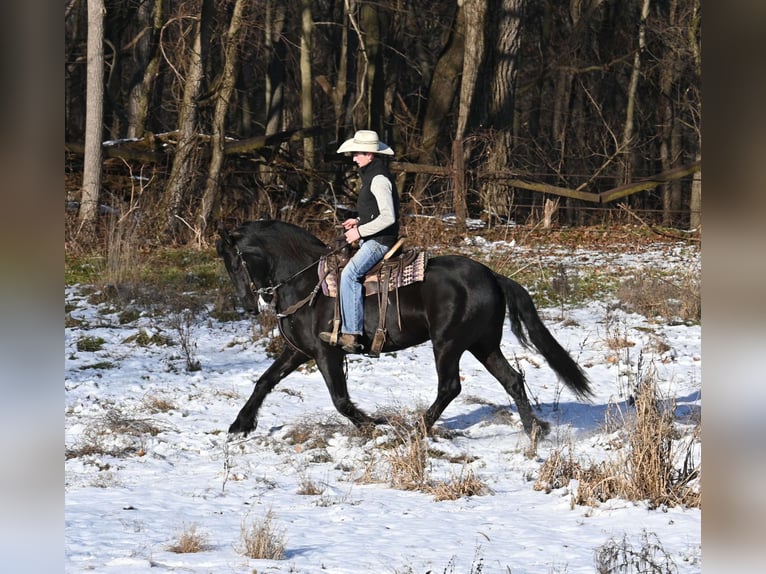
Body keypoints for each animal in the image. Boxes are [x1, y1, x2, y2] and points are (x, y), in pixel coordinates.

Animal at [218, 223, 592, 438]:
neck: (307, 282)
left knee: (450, 387)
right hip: (482, 345)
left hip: (448, 344)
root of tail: (491, 275)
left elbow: (340, 399)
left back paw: (418, 428)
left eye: (235, 260)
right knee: (512, 379)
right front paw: (240, 425)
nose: (249, 305)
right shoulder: (298, 350)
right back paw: (534, 430)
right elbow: (264, 381)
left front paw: (373, 424)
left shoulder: (326, 352)